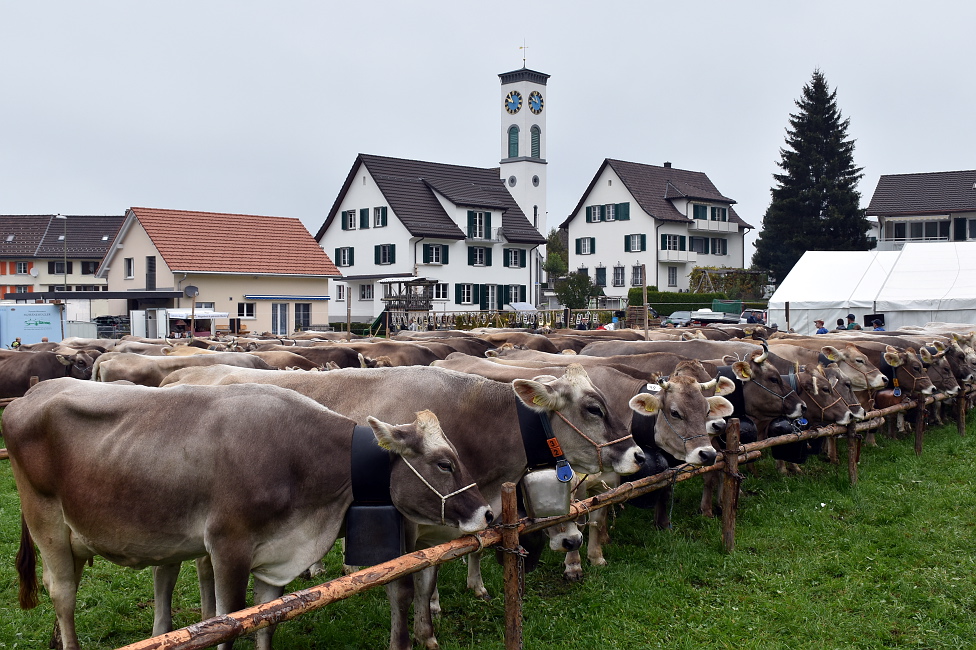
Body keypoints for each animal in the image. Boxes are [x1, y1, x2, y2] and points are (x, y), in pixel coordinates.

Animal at [8, 380, 492, 648]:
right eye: (445, 463)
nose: (487, 514)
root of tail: (29, 394)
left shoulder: (276, 554)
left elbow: (265, 622)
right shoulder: (229, 547)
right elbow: (228, 626)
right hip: (47, 525)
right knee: (63, 597)